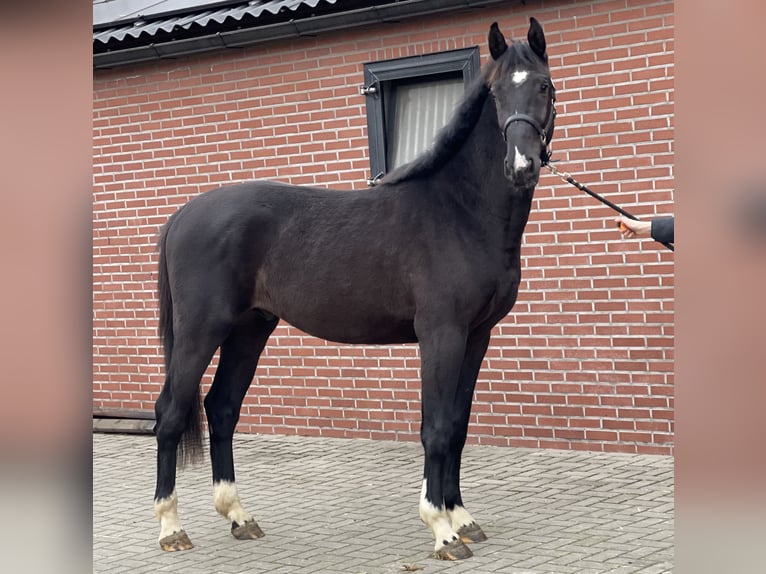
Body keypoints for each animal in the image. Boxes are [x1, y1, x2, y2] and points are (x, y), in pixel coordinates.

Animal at [153, 16, 560, 564]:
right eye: (496, 92)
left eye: (543, 86)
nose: (520, 166)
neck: (459, 212)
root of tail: (182, 215)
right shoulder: (442, 335)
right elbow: (436, 427)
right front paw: (442, 531)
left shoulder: (477, 337)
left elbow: (457, 424)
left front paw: (463, 518)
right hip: (201, 332)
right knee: (171, 412)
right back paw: (171, 528)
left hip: (250, 329)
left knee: (221, 407)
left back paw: (239, 517)